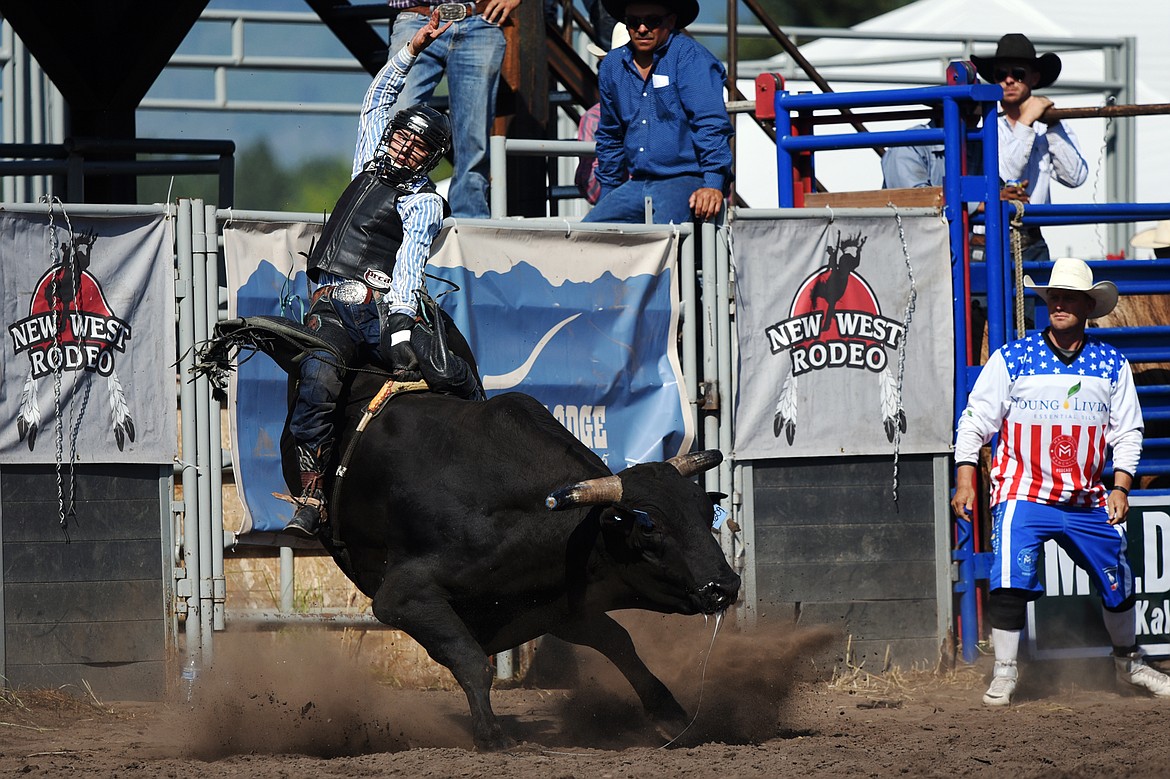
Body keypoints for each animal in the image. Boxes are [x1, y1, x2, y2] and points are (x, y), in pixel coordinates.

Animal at [201, 315, 739, 748]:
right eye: (648, 525)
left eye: (704, 509)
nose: (724, 586)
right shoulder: (404, 597)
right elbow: (470, 658)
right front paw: (491, 734)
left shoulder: (559, 603)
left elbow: (621, 644)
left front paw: (673, 717)